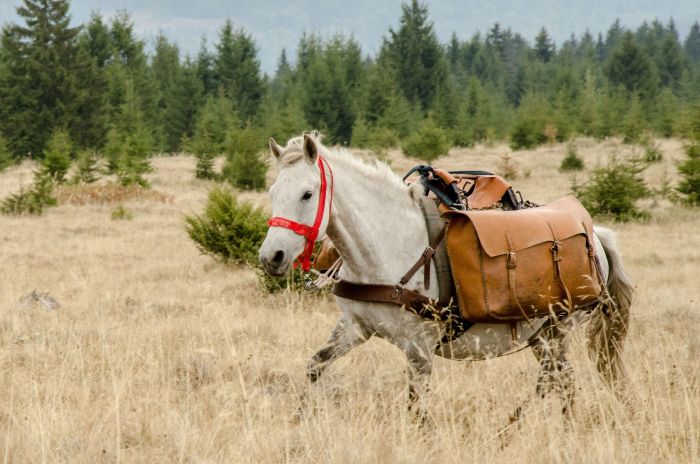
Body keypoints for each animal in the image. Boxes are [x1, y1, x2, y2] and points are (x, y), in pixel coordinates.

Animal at [262, 132, 636, 418]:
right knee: (562, 381)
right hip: (542, 335)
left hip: (557, 331)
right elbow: (315, 367)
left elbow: (417, 412)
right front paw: (300, 420)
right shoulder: (355, 327)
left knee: (553, 378)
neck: (388, 247)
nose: (271, 257)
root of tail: (596, 235)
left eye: (307, 194)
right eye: (272, 193)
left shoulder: (420, 350)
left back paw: (511, 427)